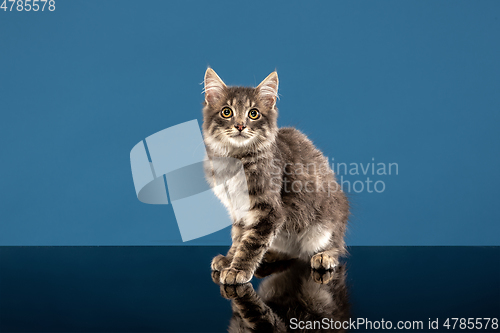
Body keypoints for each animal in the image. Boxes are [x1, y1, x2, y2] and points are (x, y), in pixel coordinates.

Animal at [200, 68, 348, 284]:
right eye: (226, 112)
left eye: (253, 114)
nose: (240, 126)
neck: (235, 159)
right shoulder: (238, 210)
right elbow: (239, 237)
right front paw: (229, 259)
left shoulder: (269, 210)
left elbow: (251, 243)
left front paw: (237, 269)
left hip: (325, 226)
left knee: (335, 246)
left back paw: (325, 256)